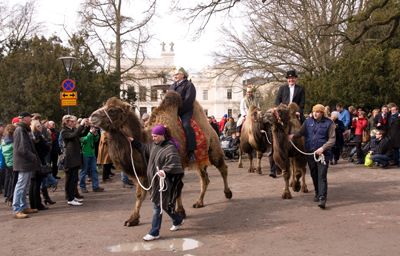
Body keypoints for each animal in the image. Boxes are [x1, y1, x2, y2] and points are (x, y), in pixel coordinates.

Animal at [87, 91, 231, 226]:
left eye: (112, 110)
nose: (92, 116)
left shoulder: (175, 165)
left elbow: (177, 188)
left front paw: (179, 212)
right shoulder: (143, 172)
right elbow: (140, 194)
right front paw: (132, 219)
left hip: (213, 149)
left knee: (223, 168)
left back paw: (228, 193)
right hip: (200, 160)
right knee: (204, 178)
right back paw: (199, 202)